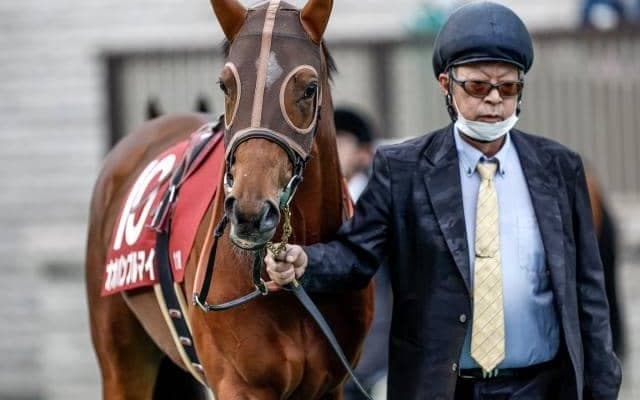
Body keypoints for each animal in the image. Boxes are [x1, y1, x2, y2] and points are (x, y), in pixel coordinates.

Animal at [85, 0, 374, 399]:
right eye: (226, 84)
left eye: (309, 88)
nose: (251, 213)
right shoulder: (241, 385)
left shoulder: (329, 386)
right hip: (120, 360)